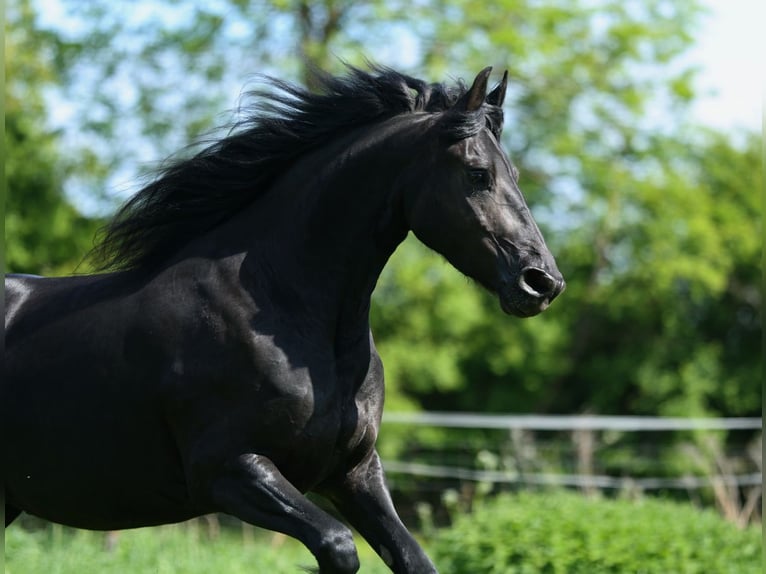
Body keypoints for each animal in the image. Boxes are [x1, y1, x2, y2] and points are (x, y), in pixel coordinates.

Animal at [3, 65, 568, 572]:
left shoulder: (355, 472)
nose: (542, 282)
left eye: (515, 176)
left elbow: (414, 559)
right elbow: (338, 548)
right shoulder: (228, 471)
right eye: (478, 175)